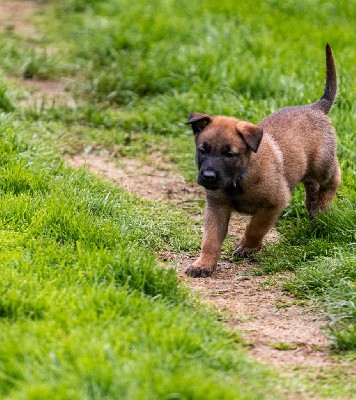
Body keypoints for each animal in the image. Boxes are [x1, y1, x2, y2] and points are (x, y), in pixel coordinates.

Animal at [185, 42, 340, 276]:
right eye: (202, 150)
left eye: (229, 154)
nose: (209, 176)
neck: (239, 179)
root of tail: (316, 107)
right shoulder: (217, 206)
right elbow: (210, 239)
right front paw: (203, 264)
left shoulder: (274, 203)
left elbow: (255, 227)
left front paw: (247, 247)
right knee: (311, 184)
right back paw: (313, 205)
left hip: (322, 163)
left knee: (333, 179)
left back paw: (322, 206)